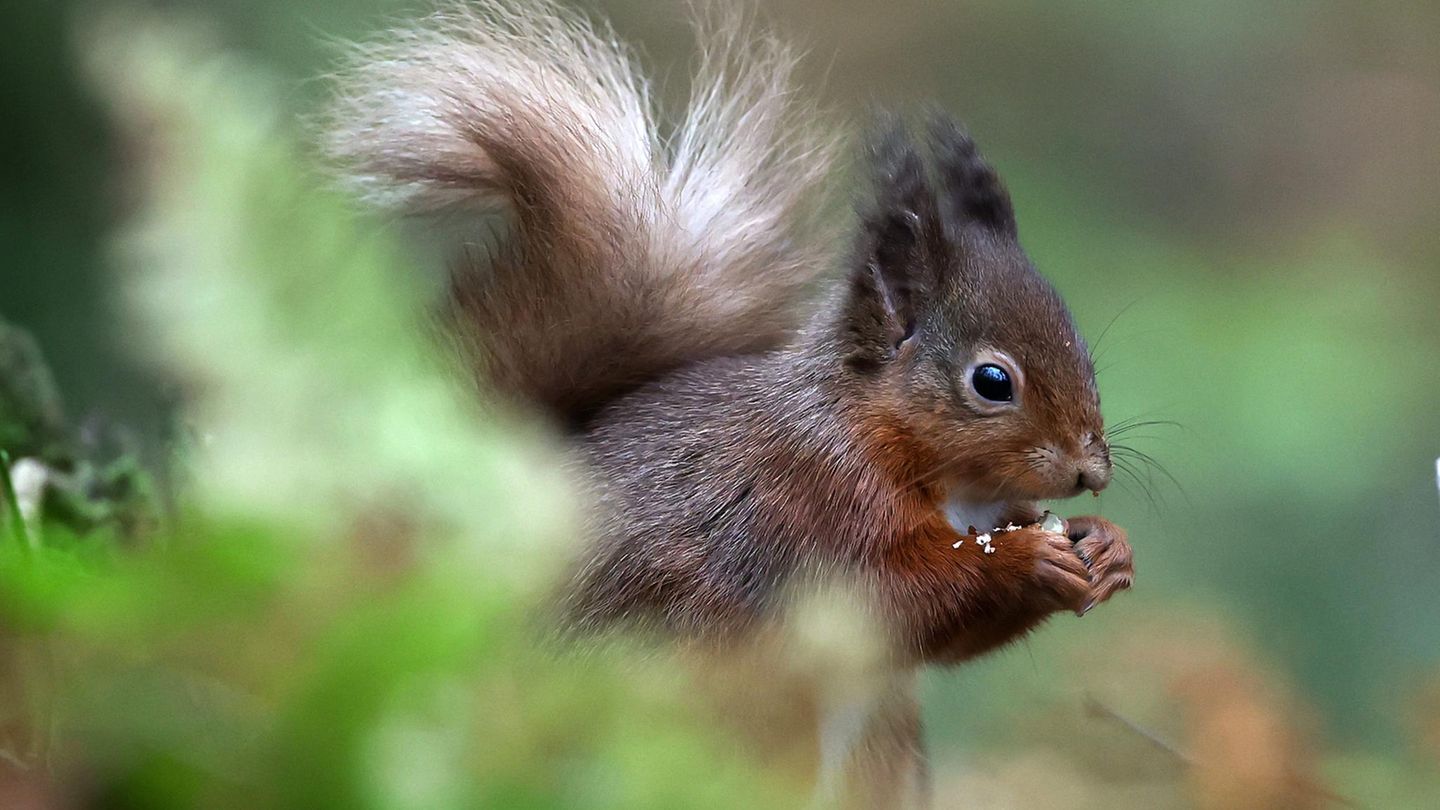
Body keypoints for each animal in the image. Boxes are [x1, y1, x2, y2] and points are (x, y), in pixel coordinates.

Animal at [323, 0, 1132, 803]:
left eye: (1084, 352)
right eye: (992, 382)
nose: (1092, 470)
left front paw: (1105, 546)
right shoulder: (812, 499)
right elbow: (893, 596)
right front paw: (1027, 559)